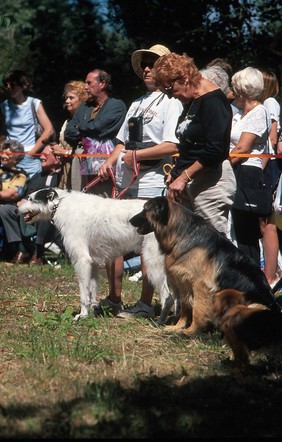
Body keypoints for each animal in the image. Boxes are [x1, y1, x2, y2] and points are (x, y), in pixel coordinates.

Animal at [18, 186, 173, 322]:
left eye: (30, 199)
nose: (16, 208)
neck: (61, 203)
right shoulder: (92, 264)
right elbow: (91, 293)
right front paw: (90, 314)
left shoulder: (82, 261)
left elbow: (84, 294)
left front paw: (82, 315)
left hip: (153, 264)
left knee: (168, 298)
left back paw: (161, 322)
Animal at [129, 197, 280, 334]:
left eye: (145, 209)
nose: (130, 220)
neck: (183, 234)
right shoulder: (184, 283)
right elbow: (185, 308)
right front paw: (178, 327)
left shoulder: (201, 286)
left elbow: (197, 309)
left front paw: (191, 331)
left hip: (254, 305)